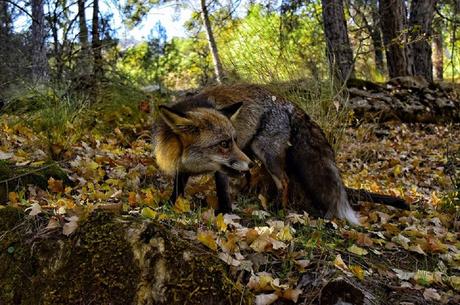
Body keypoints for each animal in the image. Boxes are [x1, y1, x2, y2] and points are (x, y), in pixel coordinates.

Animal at [153, 83, 408, 223]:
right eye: (224, 143)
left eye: (231, 140)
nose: (249, 165)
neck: (196, 164)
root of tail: (287, 102)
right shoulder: (182, 168)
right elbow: (177, 189)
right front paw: (169, 206)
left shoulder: (222, 170)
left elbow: (223, 191)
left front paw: (225, 212)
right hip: (252, 151)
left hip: (263, 152)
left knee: (284, 181)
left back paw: (279, 208)